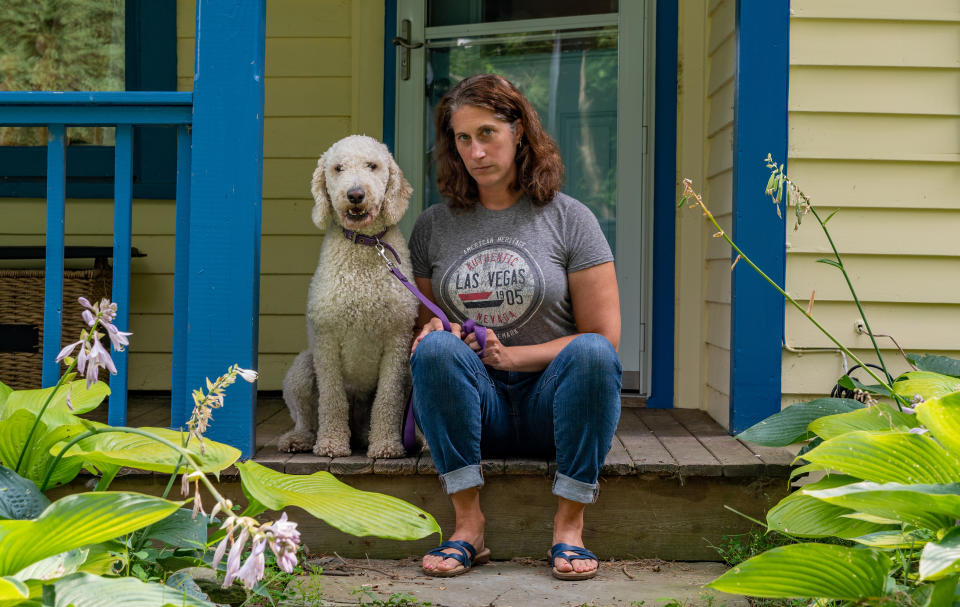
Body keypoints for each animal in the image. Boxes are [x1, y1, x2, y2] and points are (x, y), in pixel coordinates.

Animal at [274, 137, 416, 460]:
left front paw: (387, 445)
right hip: (302, 370)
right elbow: (332, 399)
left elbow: (388, 400)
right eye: (338, 168)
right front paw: (331, 444)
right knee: (306, 417)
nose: (355, 194)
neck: (365, 245)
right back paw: (300, 439)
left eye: (372, 166)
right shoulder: (326, 341)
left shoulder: (398, 340)